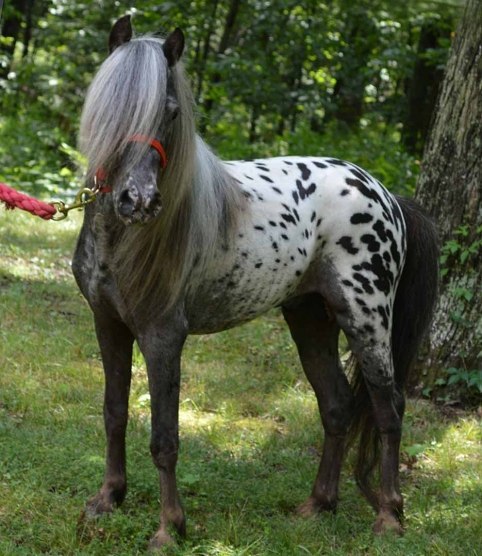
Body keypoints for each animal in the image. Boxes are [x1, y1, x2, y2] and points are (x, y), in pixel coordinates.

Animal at [73, 15, 438, 548]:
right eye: (110, 106)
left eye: (171, 113)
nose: (137, 200)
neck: (120, 240)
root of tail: (386, 194)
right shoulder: (108, 325)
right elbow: (113, 413)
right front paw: (107, 499)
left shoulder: (163, 336)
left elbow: (164, 437)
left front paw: (169, 528)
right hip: (310, 318)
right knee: (338, 406)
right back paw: (317, 505)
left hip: (367, 320)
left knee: (388, 406)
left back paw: (389, 515)